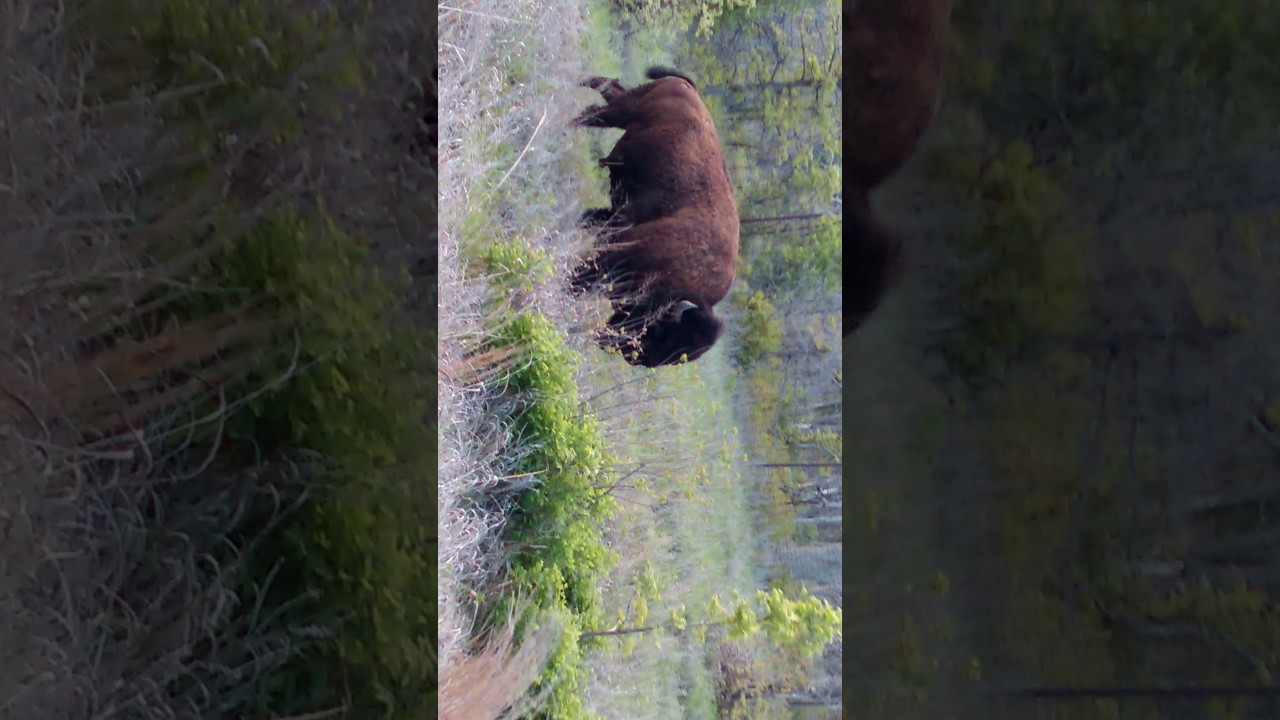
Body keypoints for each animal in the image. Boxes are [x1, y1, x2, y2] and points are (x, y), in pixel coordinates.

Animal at [570, 66, 740, 368]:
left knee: (607, 90)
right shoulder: (609, 259)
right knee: (597, 105)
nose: (634, 356)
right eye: (665, 332)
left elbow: (590, 219)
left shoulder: (615, 220)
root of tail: (688, 87)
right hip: (622, 111)